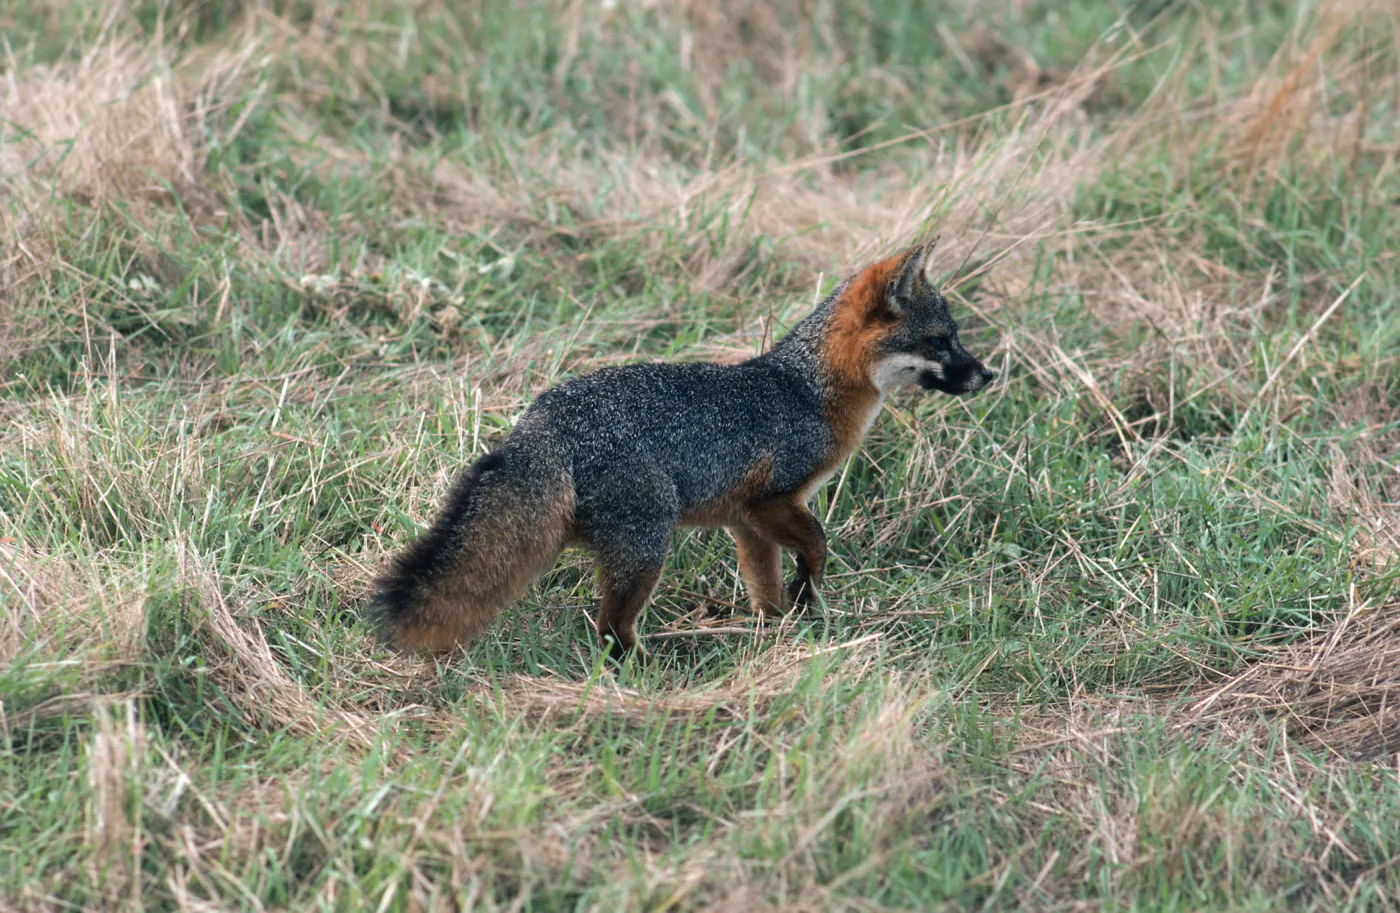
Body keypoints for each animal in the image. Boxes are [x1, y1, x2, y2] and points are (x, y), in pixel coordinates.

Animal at [371, 242, 995, 657]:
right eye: (941, 341)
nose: (988, 375)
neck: (805, 391)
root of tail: (543, 420)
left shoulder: (747, 522)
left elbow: (765, 588)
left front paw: (780, 632)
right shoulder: (774, 499)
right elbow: (818, 543)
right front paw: (807, 590)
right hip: (649, 546)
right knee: (609, 629)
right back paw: (648, 669)